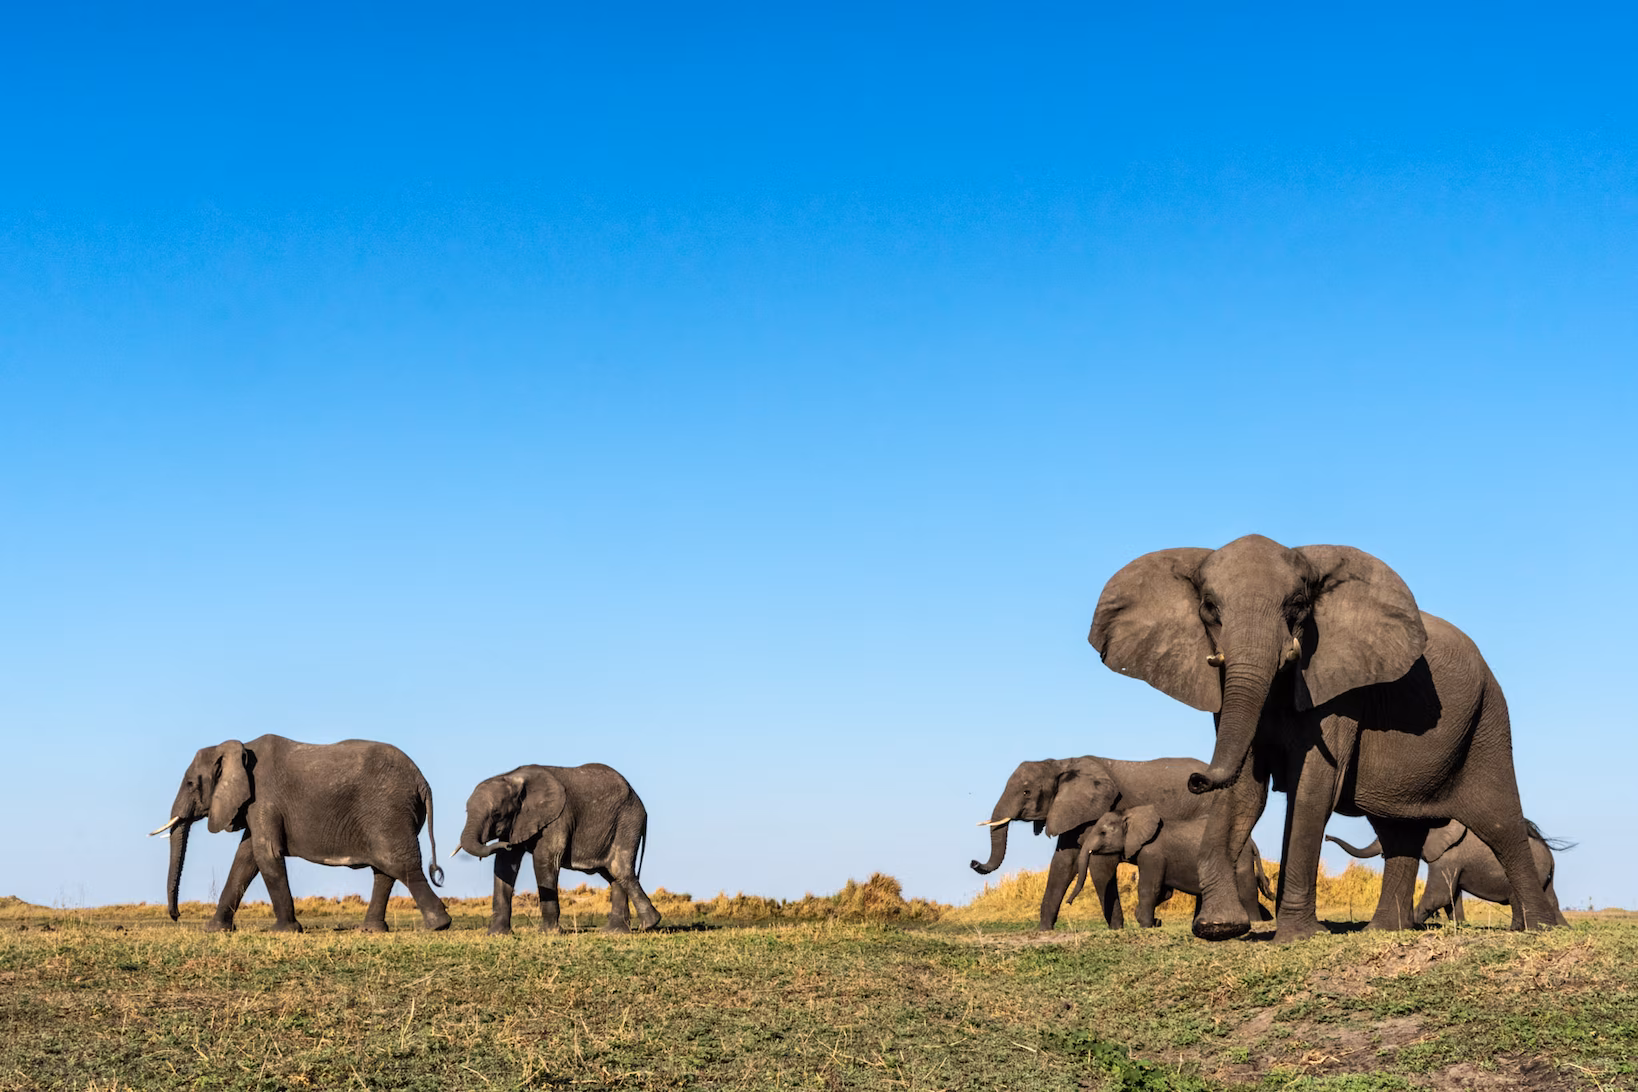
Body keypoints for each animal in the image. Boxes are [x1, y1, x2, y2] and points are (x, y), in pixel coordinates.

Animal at [151, 735, 450, 933]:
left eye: (191, 783)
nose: (176, 916)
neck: (240, 748)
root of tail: (422, 782)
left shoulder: (264, 798)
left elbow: (266, 854)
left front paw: (283, 931)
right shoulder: (255, 805)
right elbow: (245, 859)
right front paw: (214, 930)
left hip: (388, 811)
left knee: (398, 864)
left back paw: (438, 926)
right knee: (385, 870)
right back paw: (371, 931)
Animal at [457, 763, 661, 934]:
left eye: (496, 813)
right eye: (466, 811)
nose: (506, 845)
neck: (513, 777)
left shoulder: (558, 817)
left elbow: (544, 859)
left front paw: (548, 933)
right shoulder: (518, 821)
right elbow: (505, 865)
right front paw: (498, 934)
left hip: (628, 820)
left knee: (619, 868)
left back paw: (648, 924)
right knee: (611, 873)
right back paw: (614, 932)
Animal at [970, 755, 1216, 930]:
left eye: (1026, 792)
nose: (973, 862)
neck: (1061, 763)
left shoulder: (1099, 808)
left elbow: (1099, 865)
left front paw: (1116, 929)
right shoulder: (1071, 811)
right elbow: (1063, 863)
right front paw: (1044, 930)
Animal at [1067, 805, 1274, 928]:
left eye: (1102, 833)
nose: (1068, 903)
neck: (1131, 814)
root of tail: (1251, 842)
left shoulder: (1152, 854)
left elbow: (1150, 889)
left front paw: (1146, 925)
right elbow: (1164, 892)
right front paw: (1151, 921)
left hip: (1241, 859)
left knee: (1246, 890)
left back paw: (1256, 923)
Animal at [1327, 820, 1571, 926]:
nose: (1327, 837)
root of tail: (1550, 856)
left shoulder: (1449, 856)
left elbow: (1440, 895)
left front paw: (1415, 925)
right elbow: (1452, 897)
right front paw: (1460, 926)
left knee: (1517, 898)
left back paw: (1516, 930)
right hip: (1545, 874)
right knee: (1551, 899)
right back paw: (1561, 927)